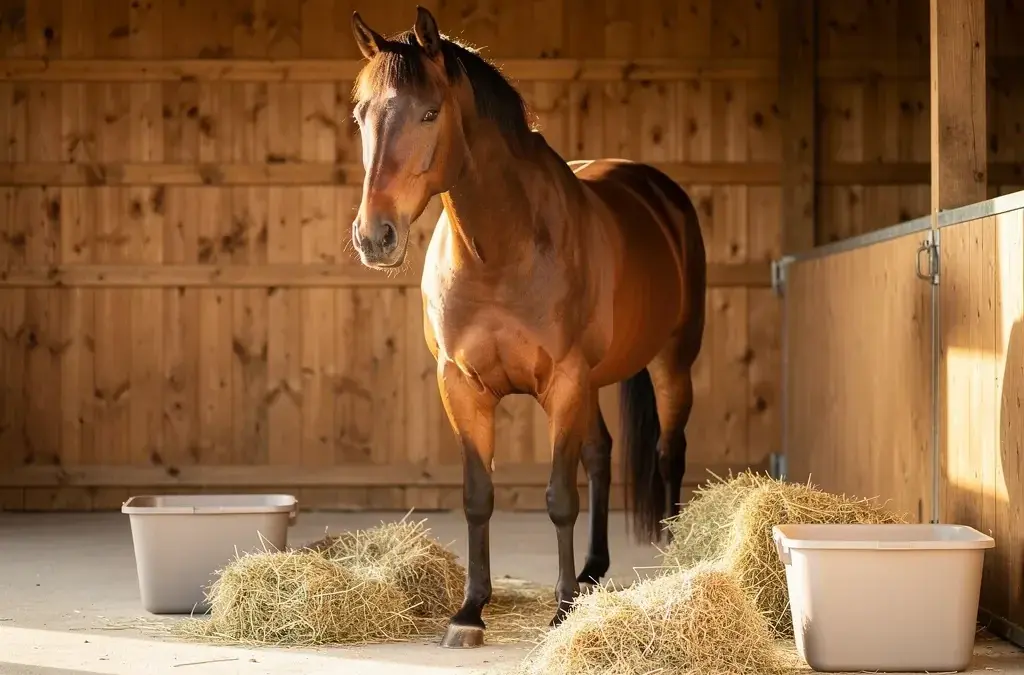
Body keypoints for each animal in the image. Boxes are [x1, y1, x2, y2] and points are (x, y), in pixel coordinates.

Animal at [348, 6, 707, 649]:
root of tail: (660, 192)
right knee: (601, 453)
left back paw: (668, 560)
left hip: (672, 363)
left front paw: (561, 610)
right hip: (595, 383)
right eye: (360, 115)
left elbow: (560, 497)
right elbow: (478, 496)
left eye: (430, 112)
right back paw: (592, 571)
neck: (503, 251)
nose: (375, 236)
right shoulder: (462, 387)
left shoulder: (562, 382)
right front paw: (470, 612)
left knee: (670, 452)